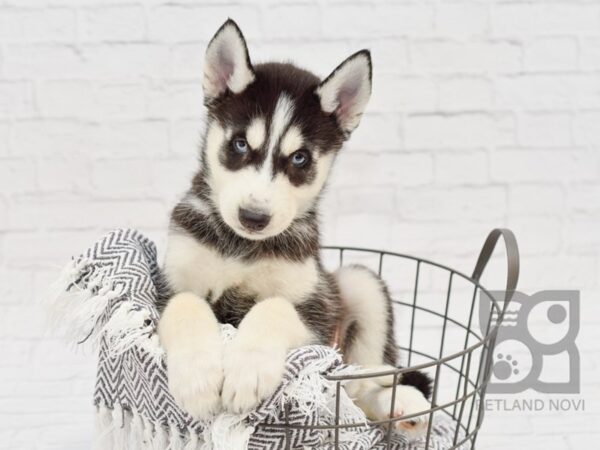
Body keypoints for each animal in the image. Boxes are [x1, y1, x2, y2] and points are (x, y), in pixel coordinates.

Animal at [158, 20, 432, 432]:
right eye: (240, 144)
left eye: (300, 158)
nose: (254, 217)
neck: (240, 247)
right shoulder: (166, 288)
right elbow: (186, 303)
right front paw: (197, 378)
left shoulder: (316, 317)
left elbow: (274, 308)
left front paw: (248, 370)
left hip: (359, 286)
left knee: (359, 388)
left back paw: (399, 405)